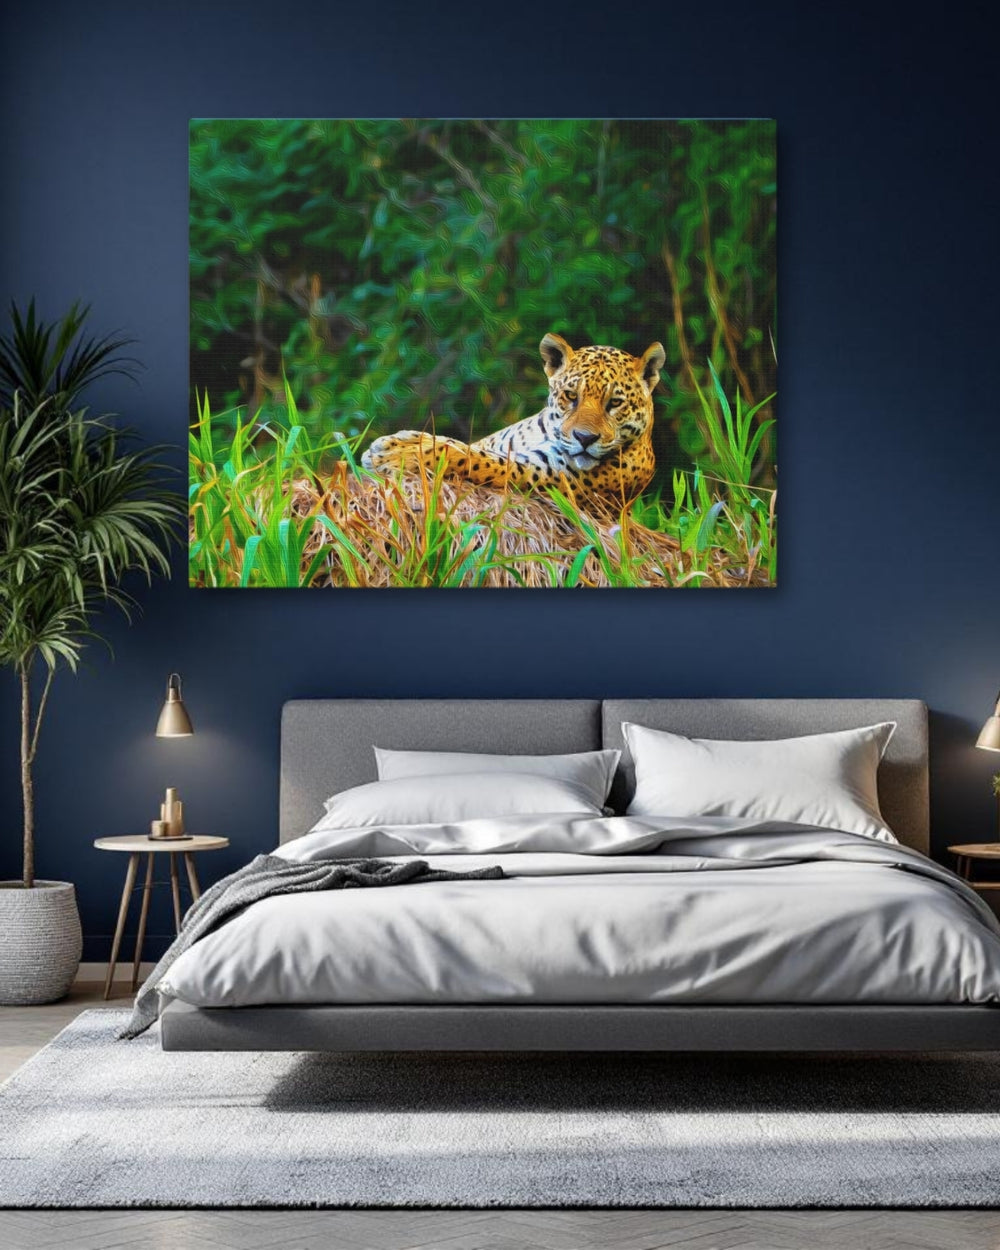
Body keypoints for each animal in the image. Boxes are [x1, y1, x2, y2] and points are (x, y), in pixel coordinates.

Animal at [361, 332, 667, 508]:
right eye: (571, 396)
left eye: (614, 403)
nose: (585, 438)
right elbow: (462, 444)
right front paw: (402, 444)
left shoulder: (542, 473)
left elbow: (473, 458)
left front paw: (393, 454)